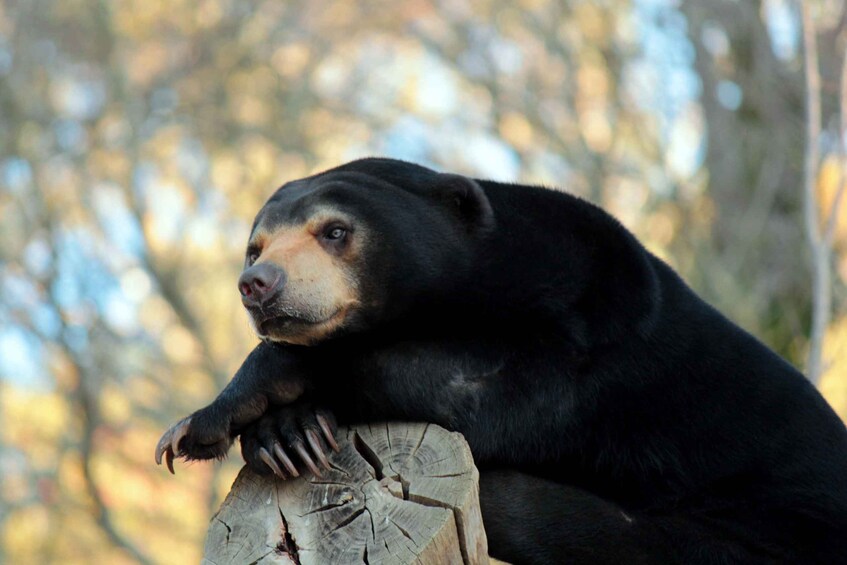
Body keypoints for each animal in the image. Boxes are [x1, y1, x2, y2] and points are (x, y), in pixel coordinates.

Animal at [156, 157, 847, 564]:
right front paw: (286, 438)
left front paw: (207, 422)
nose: (257, 284)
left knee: (540, 513)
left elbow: (492, 394)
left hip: (760, 532)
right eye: (256, 246)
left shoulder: (591, 315)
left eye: (335, 232)